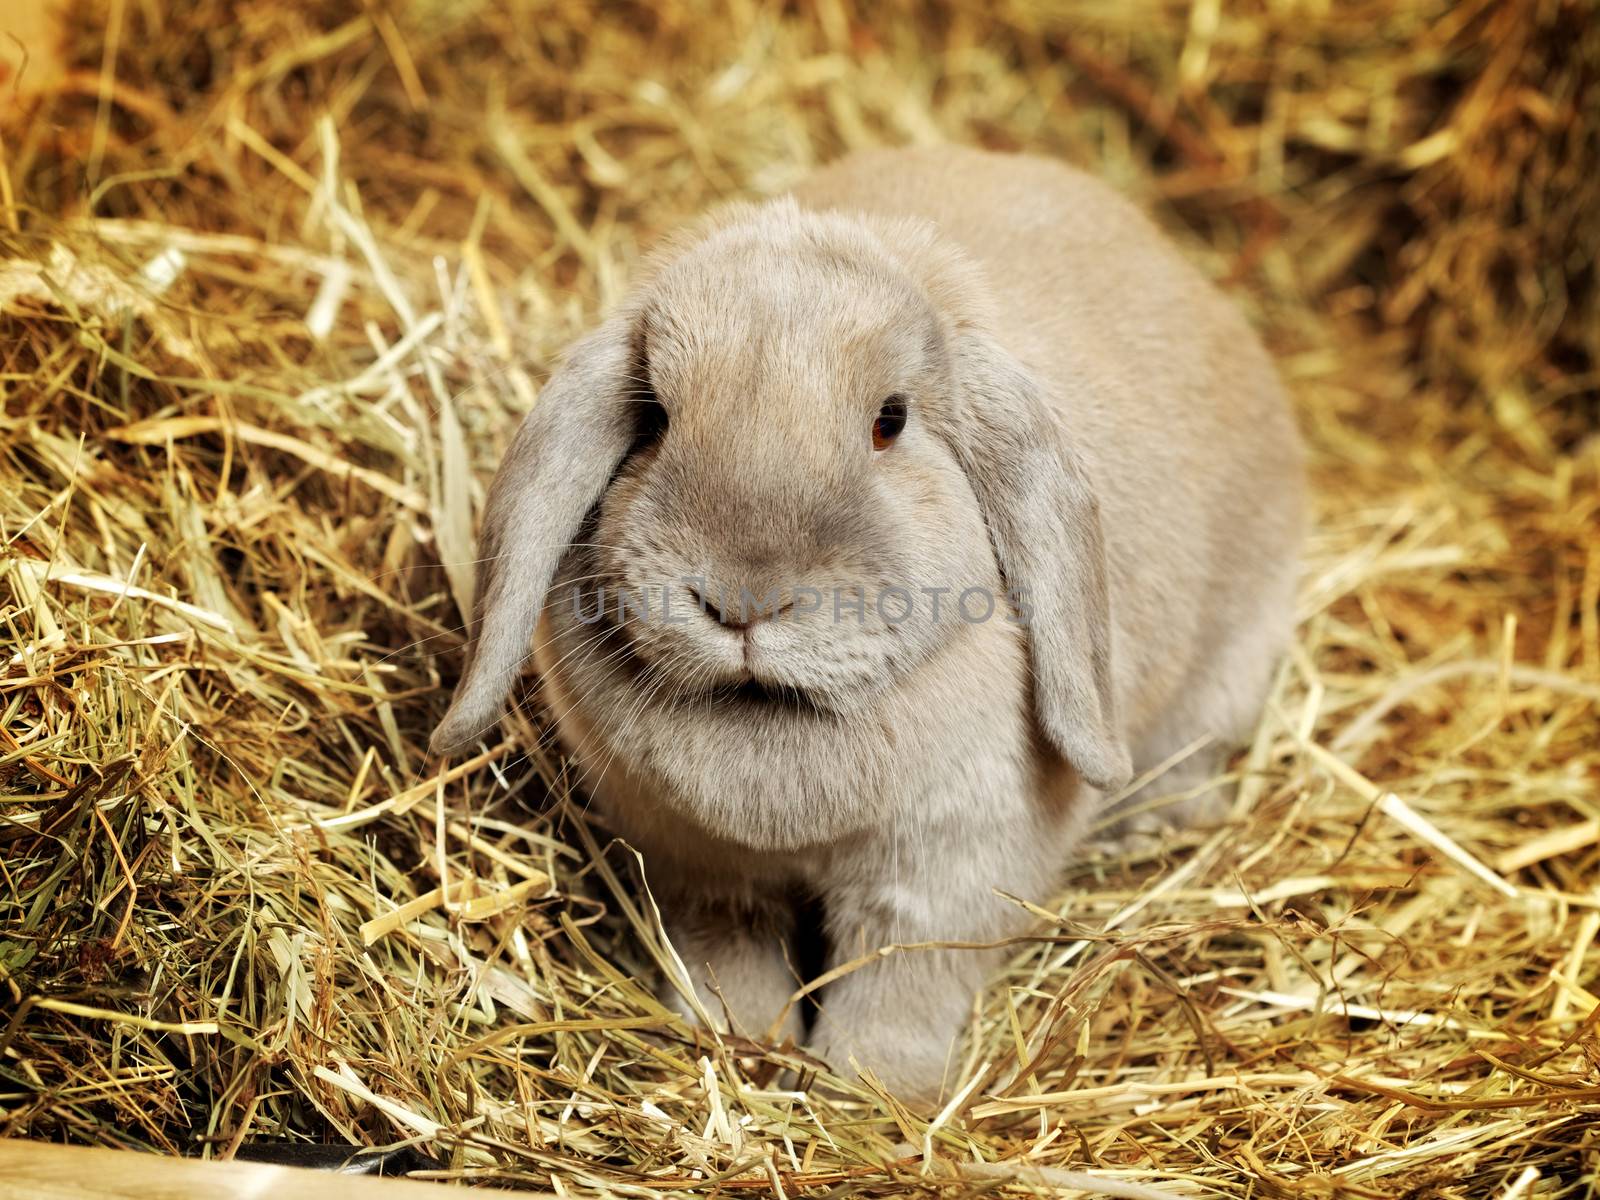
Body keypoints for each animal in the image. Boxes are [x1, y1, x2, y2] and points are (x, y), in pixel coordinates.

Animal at [432, 145, 1305, 1107]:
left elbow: (898, 985)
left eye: (892, 420)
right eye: (653, 418)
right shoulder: (700, 878)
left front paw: (869, 1094)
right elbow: (731, 962)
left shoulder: (946, 874)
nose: (743, 600)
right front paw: (744, 1050)